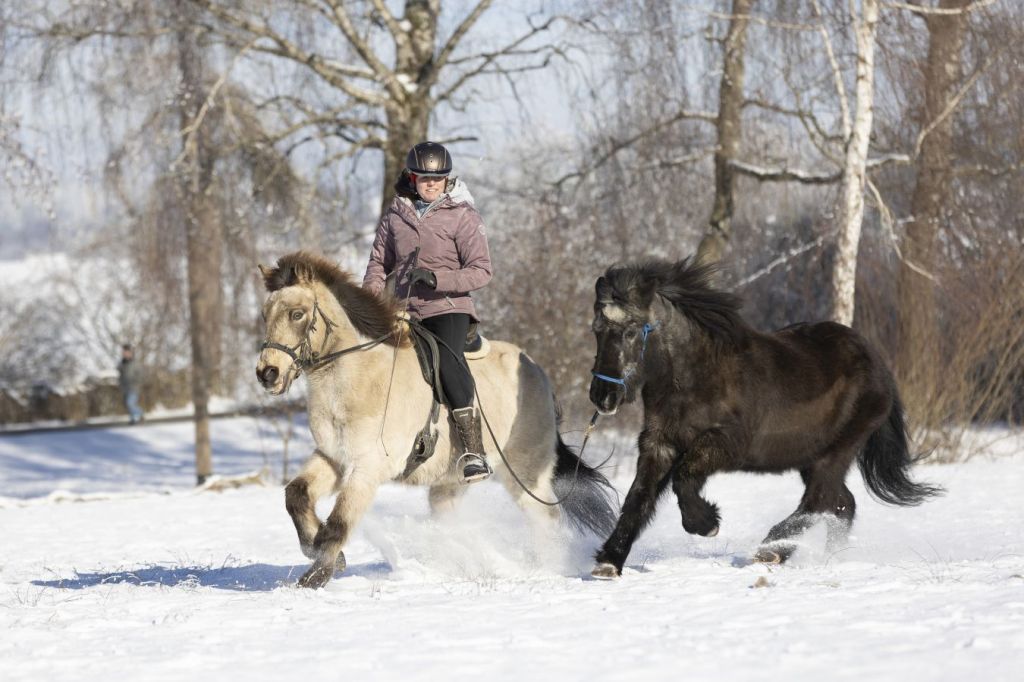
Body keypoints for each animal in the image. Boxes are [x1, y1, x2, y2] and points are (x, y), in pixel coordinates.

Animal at [255, 251, 617, 588]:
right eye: (265, 314)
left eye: (297, 314)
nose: (267, 373)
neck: (358, 375)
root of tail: (538, 373)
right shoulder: (333, 458)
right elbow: (296, 495)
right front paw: (322, 551)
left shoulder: (368, 468)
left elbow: (340, 522)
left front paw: (317, 575)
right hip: (449, 485)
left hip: (526, 476)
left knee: (546, 518)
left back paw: (546, 568)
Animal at [586, 258, 943, 579]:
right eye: (597, 330)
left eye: (631, 331)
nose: (602, 396)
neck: (693, 375)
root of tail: (877, 363)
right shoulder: (659, 444)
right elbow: (639, 498)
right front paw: (609, 561)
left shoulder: (724, 444)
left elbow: (684, 479)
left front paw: (706, 524)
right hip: (812, 458)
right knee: (841, 503)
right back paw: (827, 557)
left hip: (836, 452)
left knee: (820, 500)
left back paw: (771, 550)